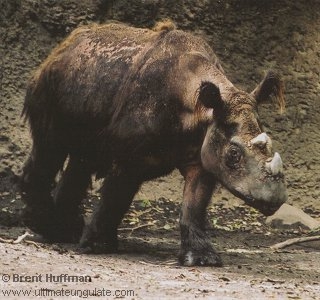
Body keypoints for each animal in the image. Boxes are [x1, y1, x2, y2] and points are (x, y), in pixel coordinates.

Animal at [20, 19, 288, 266]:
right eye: (234, 154)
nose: (274, 199)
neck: (200, 107)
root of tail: (62, 47)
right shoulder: (129, 156)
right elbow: (117, 195)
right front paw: (97, 247)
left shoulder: (204, 152)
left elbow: (194, 205)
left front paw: (202, 259)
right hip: (47, 85)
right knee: (50, 147)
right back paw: (46, 227)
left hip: (88, 84)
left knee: (81, 159)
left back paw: (63, 232)